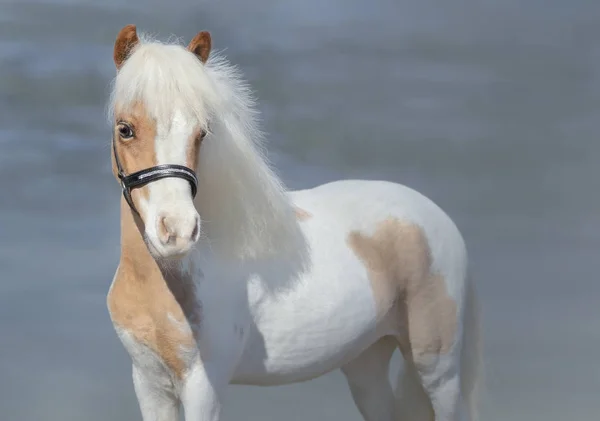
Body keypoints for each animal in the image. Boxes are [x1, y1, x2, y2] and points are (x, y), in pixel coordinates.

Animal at [106, 25, 482, 420]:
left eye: (202, 132)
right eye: (125, 129)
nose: (177, 232)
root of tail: (436, 217)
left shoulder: (204, 386)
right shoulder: (149, 382)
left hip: (439, 371)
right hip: (367, 363)